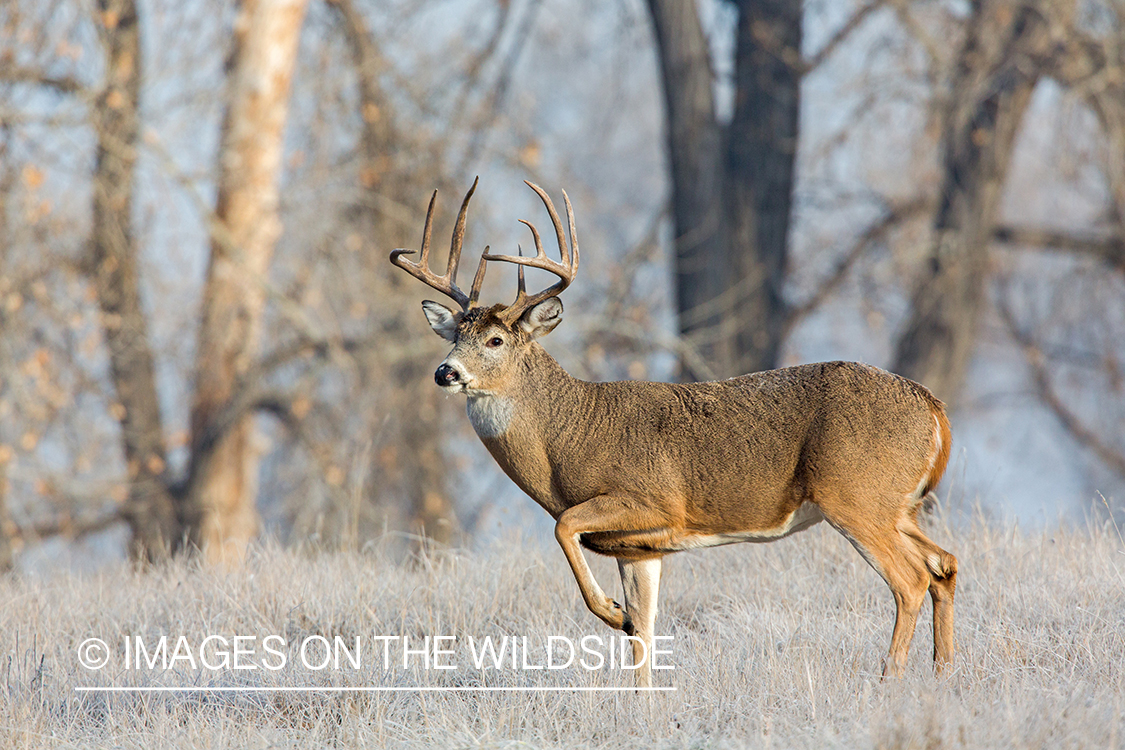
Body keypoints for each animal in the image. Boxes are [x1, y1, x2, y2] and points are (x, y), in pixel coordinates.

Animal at [389, 178, 958, 688]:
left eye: (496, 339)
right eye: (454, 335)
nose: (445, 372)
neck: (566, 437)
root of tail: (934, 409)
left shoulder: (653, 501)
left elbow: (565, 528)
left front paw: (610, 612)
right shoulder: (639, 548)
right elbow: (644, 632)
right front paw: (642, 702)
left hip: (855, 495)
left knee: (911, 580)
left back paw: (889, 680)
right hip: (897, 505)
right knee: (944, 564)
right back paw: (944, 673)